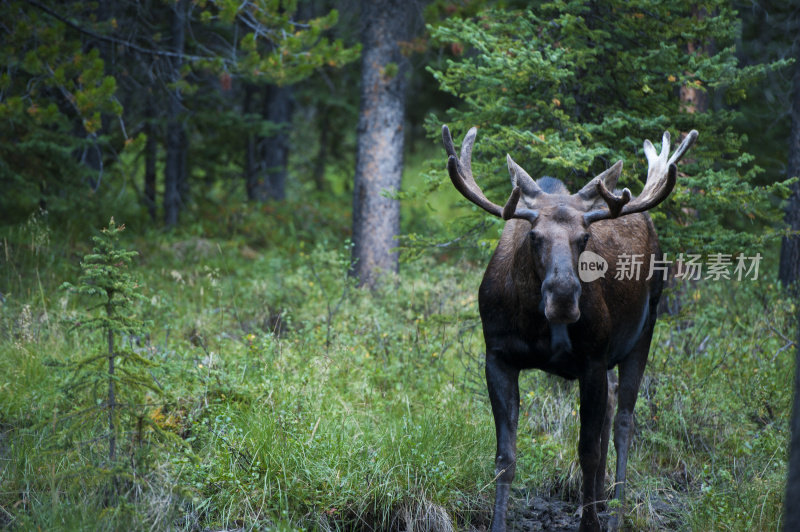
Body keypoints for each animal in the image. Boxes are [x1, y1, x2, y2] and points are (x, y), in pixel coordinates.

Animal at [440, 125, 696, 532]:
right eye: (534, 236)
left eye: (584, 238)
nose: (563, 296)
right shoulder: (497, 355)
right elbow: (505, 458)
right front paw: (499, 522)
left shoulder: (592, 357)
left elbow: (586, 451)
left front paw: (589, 523)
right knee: (611, 406)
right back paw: (603, 499)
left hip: (645, 328)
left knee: (624, 420)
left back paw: (616, 510)